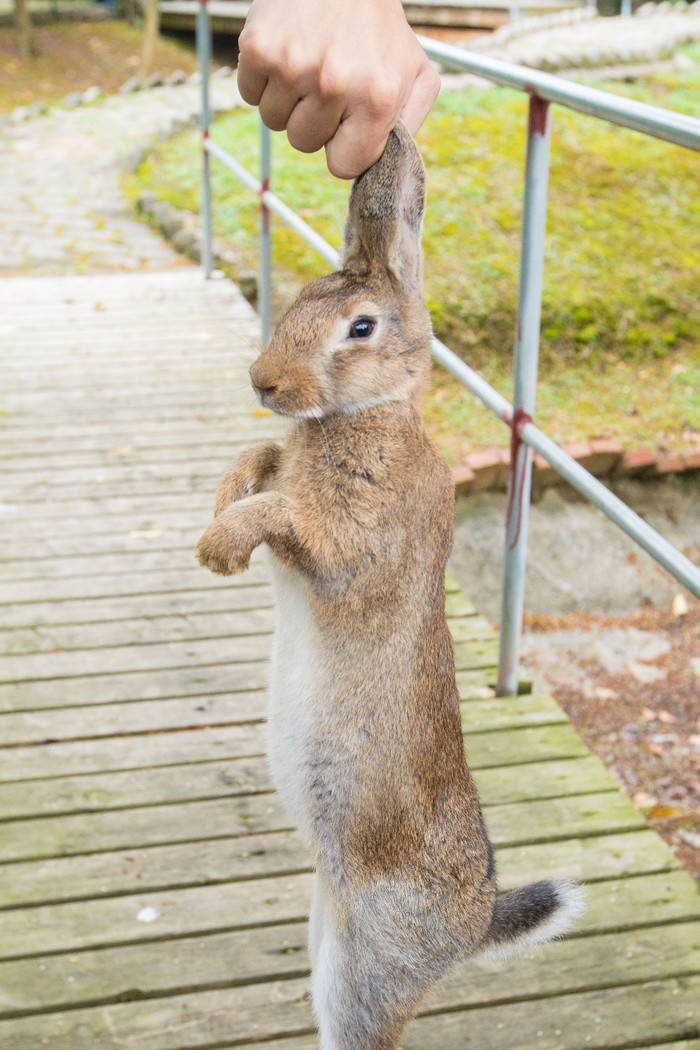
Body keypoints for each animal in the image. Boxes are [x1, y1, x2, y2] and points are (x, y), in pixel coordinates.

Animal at [197, 120, 579, 1050]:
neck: (359, 414)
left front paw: (219, 547)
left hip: (366, 962)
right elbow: (260, 460)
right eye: (300, 298)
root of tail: (472, 926)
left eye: (359, 327)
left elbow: (285, 515)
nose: (263, 382)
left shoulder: (348, 542)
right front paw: (224, 506)